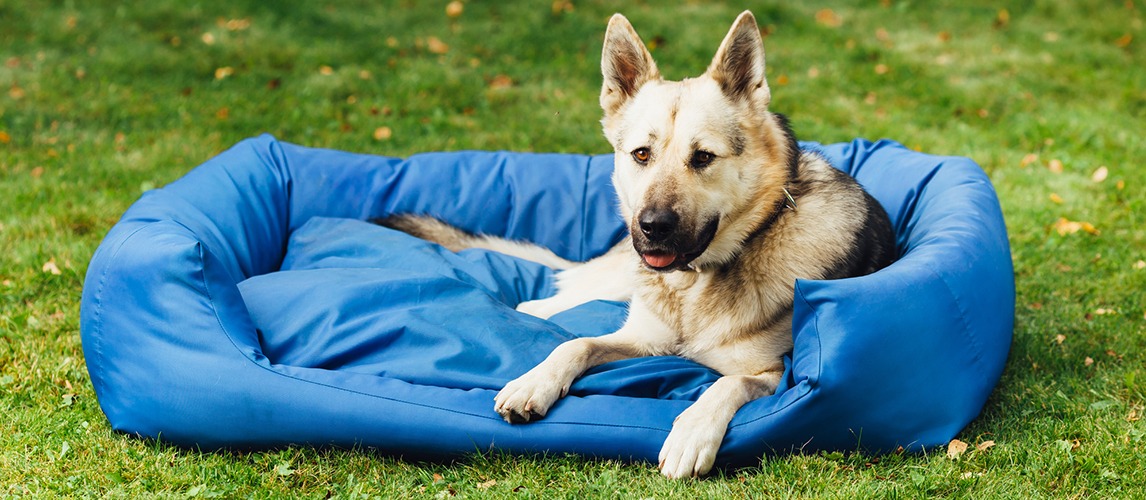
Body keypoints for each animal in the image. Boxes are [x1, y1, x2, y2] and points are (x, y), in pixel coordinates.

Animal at [375, 11, 893, 479]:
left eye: (703, 158)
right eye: (641, 154)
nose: (651, 227)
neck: (692, 285)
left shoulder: (770, 375)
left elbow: (723, 386)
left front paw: (691, 433)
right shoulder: (642, 340)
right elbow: (576, 343)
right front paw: (534, 382)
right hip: (614, 278)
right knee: (549, 300)